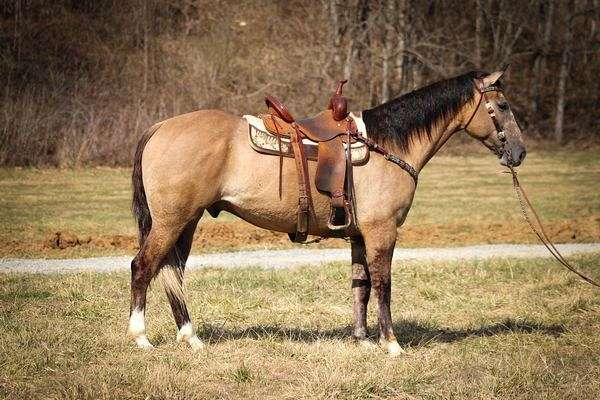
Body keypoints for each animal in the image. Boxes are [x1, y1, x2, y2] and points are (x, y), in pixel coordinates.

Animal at [126, 69, 524, 356]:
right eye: (503, 105)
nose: (520, 152)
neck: (387, 145)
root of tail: (159, 127)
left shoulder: (360, 236)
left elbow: (361, 285)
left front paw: (362, 339)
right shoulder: (382, 232)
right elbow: (383, 284)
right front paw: (392, 344)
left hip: (187, 222)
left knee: (172, 272)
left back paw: (190, 337)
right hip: (172, 221)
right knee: (143, 267)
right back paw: (140, 337)